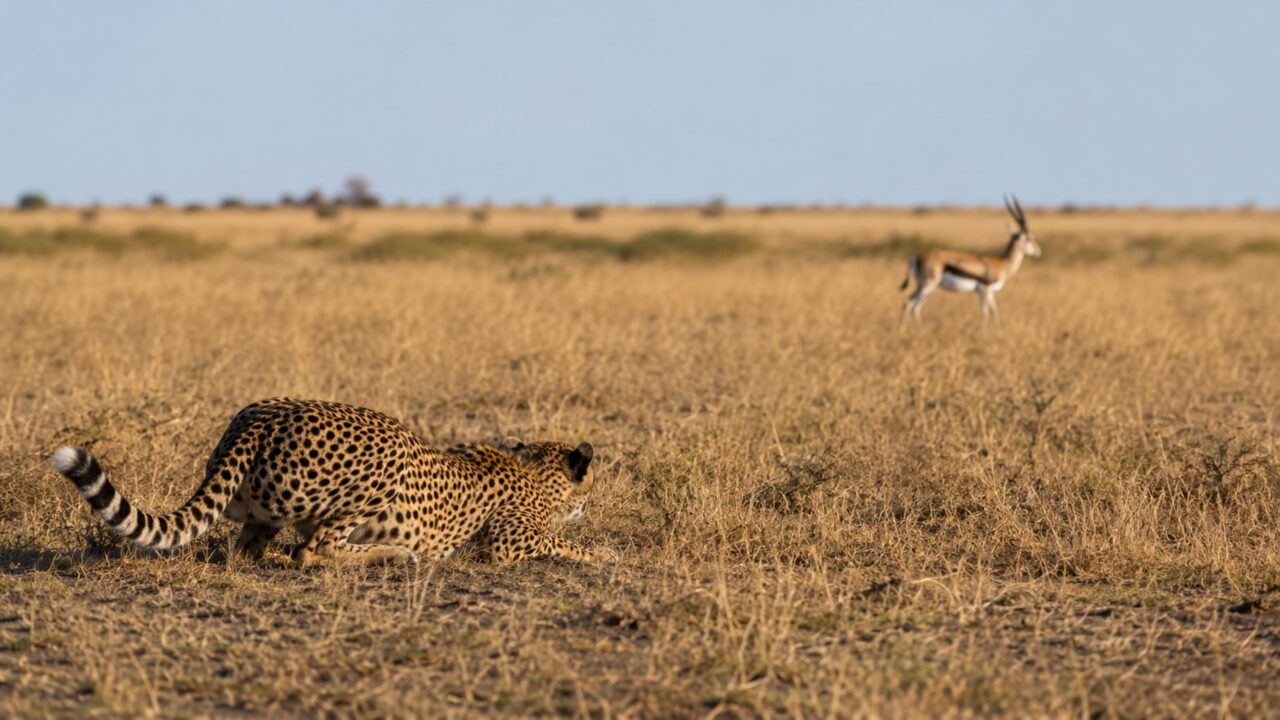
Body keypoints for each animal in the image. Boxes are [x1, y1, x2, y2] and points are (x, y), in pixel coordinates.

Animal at [50, 398, 611, 566]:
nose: (591, 504)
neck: (534, 470)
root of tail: (259, 416)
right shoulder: (507, 542)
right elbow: (558, 543)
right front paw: (602, 554)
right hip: (388, 461)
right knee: (314, 551)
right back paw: (394, 554)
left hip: (261, 508)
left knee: (247, 549)